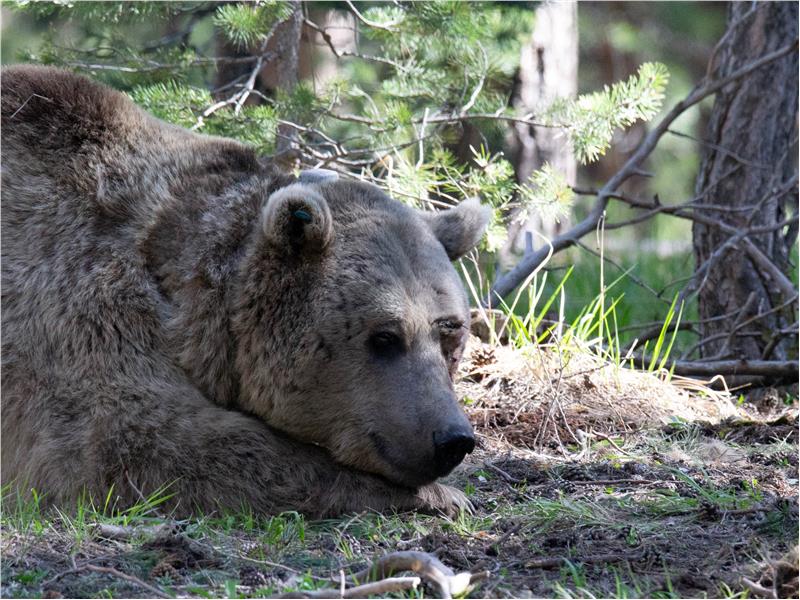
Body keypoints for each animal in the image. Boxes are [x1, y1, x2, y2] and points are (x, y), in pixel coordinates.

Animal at [0, 64, 490, 516]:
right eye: (385, 336)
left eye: (450, 335)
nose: (452, 438)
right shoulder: (73, 303)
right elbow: (132, 443)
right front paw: (439, 495)